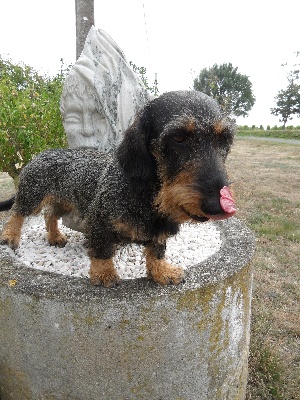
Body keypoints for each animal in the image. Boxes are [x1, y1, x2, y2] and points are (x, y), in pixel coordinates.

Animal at [0, 90, 237, 288]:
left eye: (224, 139)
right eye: (178, 137)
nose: (218, 206)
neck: (148, 198)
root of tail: (43, 153)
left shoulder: (159, 231)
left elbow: (157, 251)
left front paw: (161, 271)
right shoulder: (98, 220)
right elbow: (103, 249)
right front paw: (104, 273)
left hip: (65, 201)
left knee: (50, 214)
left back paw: (55, 236)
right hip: (33, 194)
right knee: (18, 212)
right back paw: (10, 236)